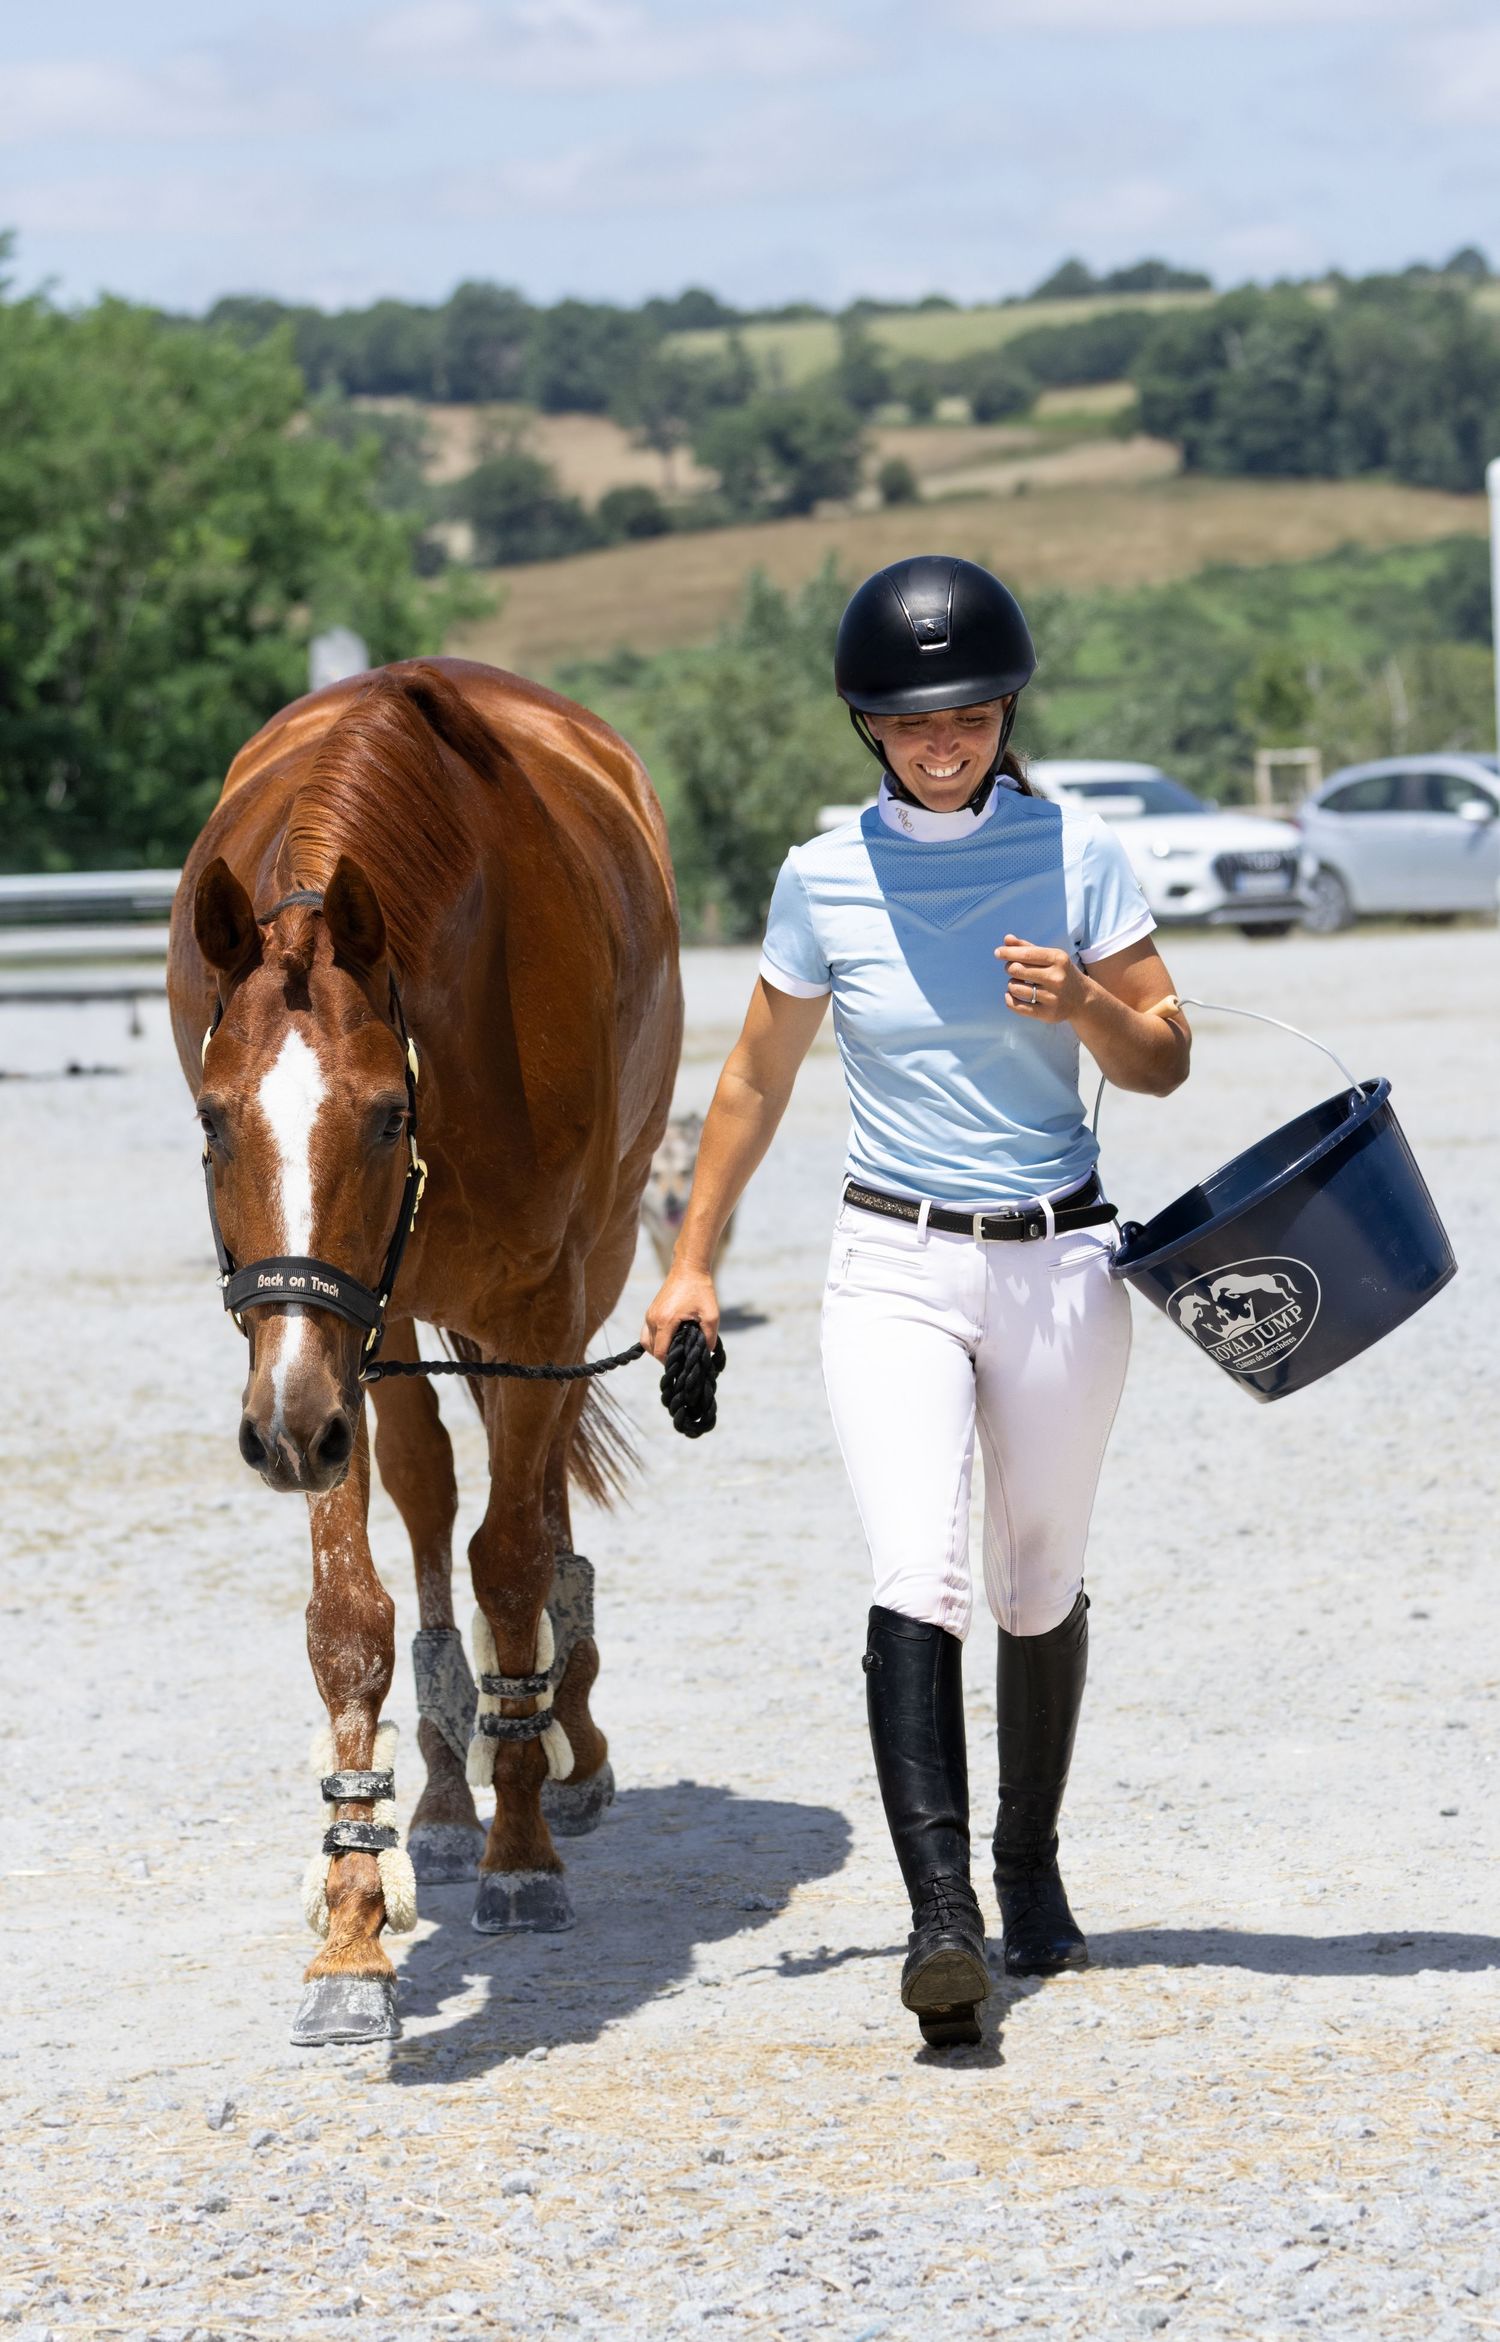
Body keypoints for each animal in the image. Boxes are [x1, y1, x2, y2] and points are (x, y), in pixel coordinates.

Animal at [166, 656, 682, 2045]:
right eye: (212, 1118)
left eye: (387, 1112)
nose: (282, 1433)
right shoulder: (334, 1338)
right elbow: (354, 1612)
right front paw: (353, 1931)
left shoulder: (544, 1296)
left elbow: (511, 1559)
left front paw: (525, 1851)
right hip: (378, 1342)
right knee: (432, 1489)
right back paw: (448, 1792)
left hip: (576, 1270)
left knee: (532, 1496)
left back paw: (562, 1737)